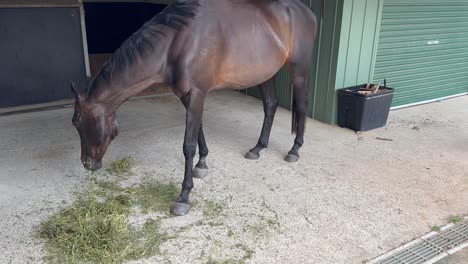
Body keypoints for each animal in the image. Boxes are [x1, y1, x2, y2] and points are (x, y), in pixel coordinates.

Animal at [70, 0, 318, 216]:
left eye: (78, 122)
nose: (87, 164)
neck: (177, 42)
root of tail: (307, 12)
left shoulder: (196, 94)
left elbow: (188, 145)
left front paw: (184, 196)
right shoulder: (187, 96)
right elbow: (198, 131)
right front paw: (202, 163)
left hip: (299, 69)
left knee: (302, 106)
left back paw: (294, 150)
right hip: (266, 72)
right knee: (270, 105)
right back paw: (257, 148)